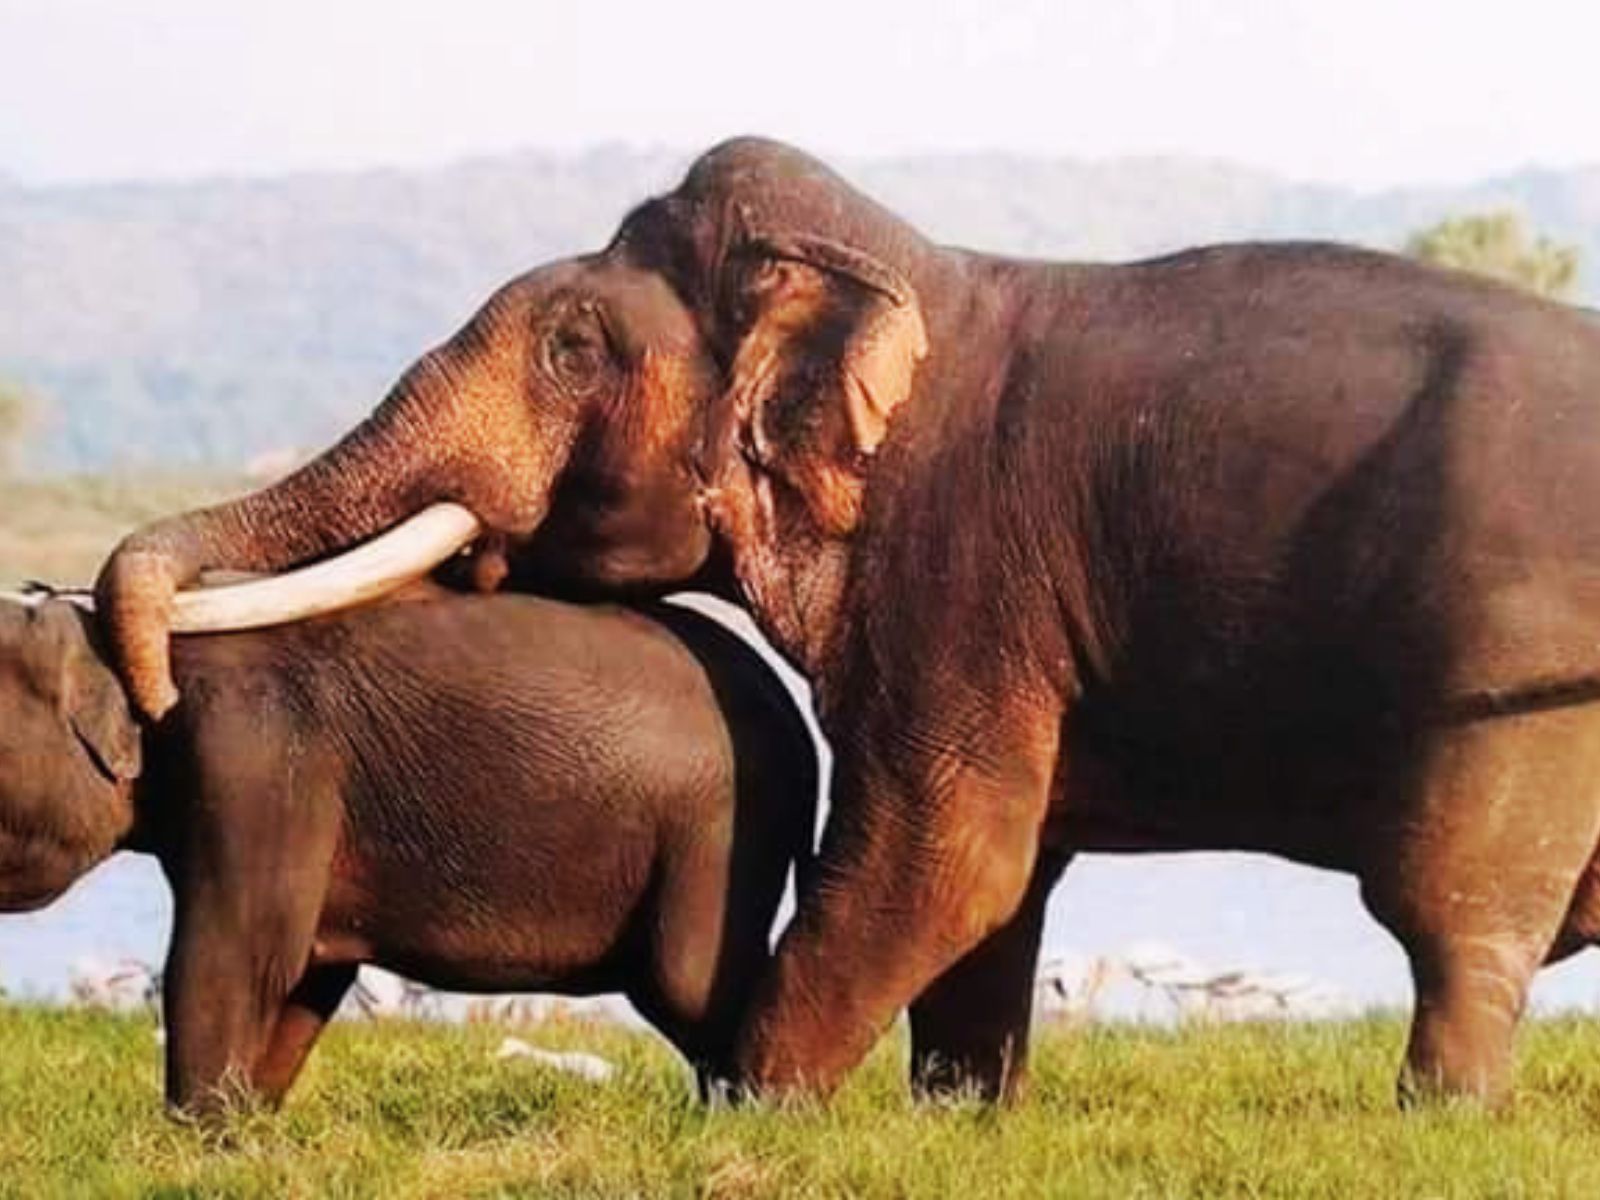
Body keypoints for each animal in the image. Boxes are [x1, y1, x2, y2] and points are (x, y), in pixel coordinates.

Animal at [0, 589, 815, 1114]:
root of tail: (800, 723)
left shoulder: (255, 765)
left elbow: (239, 952)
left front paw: (197, 1141)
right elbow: (307, 972)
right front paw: (246, 1129)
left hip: (717, 835)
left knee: (691, 984)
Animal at [95, 136, 1600, 1107]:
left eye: (572, 349)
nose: (152, 695)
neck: (909, 276)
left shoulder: (956, 572)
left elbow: (948, 858)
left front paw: (755, 1118)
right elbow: (1003, 885)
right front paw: (962, 1121)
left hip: (1507, 659)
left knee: (1454, 917)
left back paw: (1438, 1124)